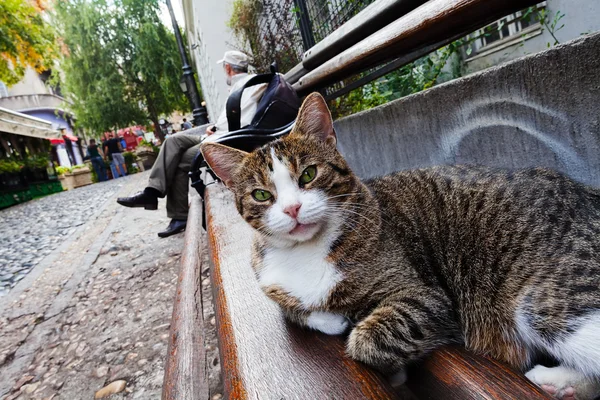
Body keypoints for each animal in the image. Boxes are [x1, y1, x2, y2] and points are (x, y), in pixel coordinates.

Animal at [203, 93, 600, 396]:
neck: (307, 251)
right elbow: (294, 309)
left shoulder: (425, 295)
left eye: (309, 174)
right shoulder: (270, 281)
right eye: (261, 195)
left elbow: (364, 339)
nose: (292, 208)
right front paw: (329, 317)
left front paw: (391, 370)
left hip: (548, 297)